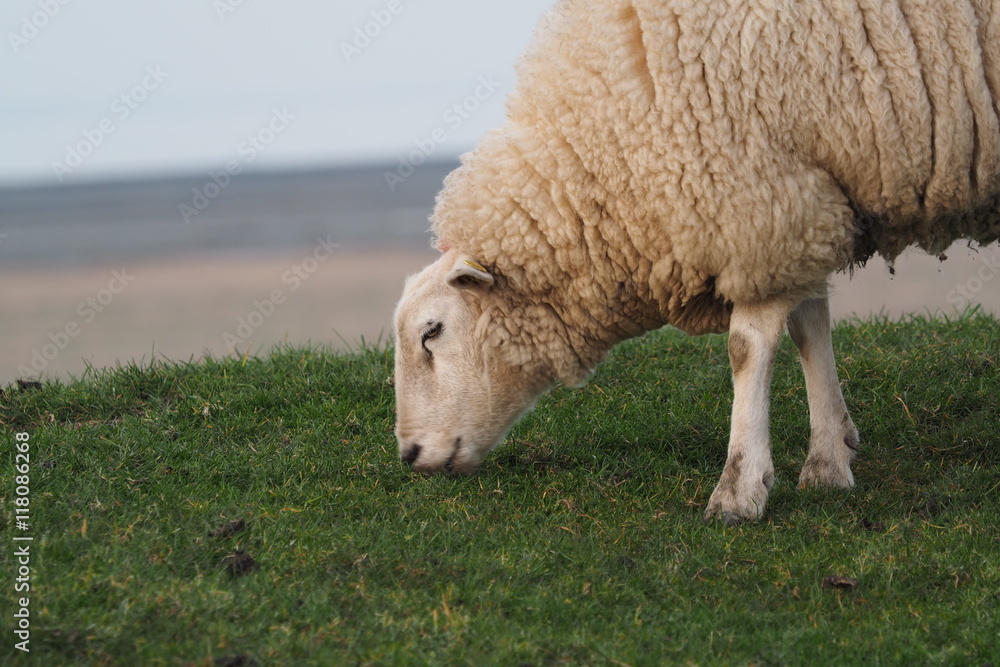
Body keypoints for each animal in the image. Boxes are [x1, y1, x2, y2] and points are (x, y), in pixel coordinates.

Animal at [393, 0, 1000, 524]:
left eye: (432, 331)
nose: (409, 454)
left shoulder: (760, 205)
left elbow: (747, 348)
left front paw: (740, 488)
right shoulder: (801, 205)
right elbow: (809, 327)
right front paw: (831, 457)